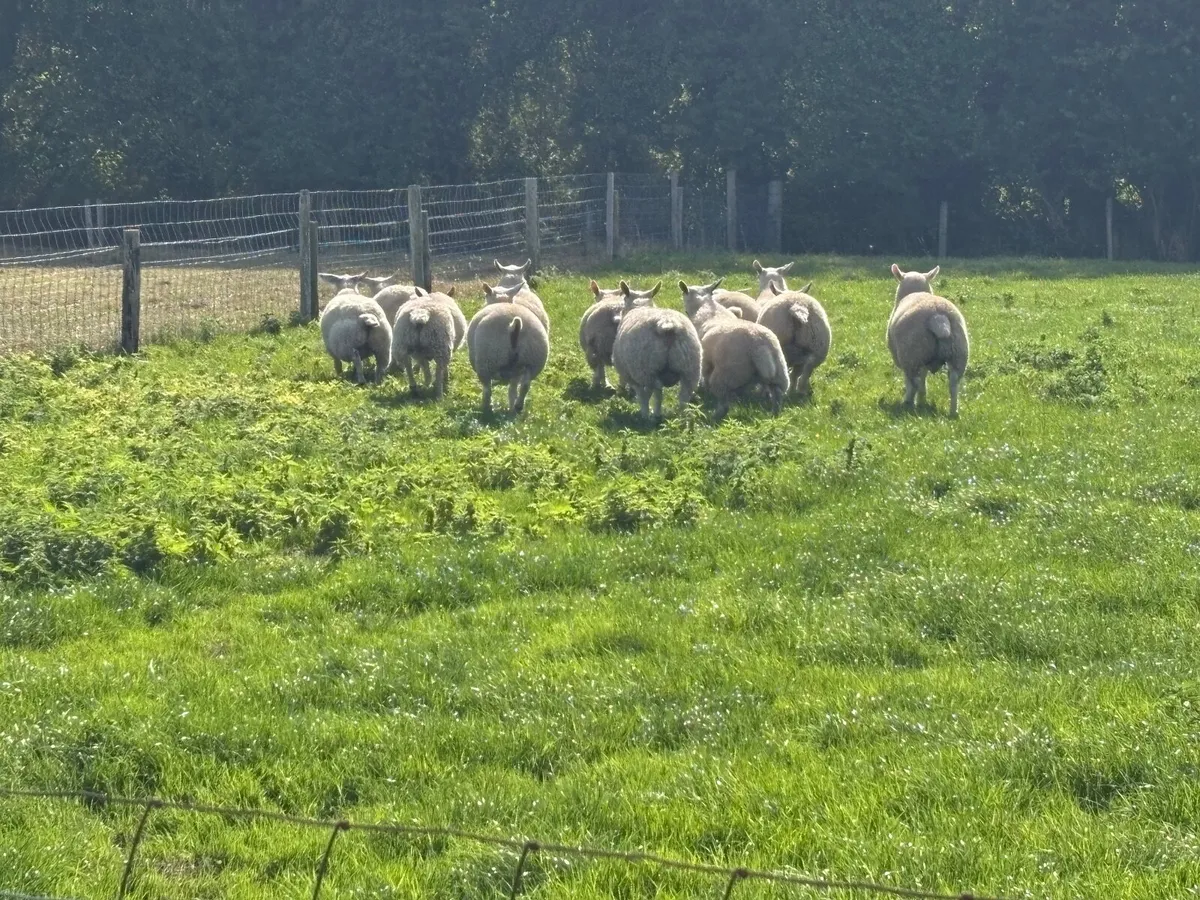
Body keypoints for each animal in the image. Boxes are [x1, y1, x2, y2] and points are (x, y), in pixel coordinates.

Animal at [467, 282, 550, 414]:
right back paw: (517, 407)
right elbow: (513, 388)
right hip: (533, 360)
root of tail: (515, 325)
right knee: (524, 385)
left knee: (487, 389)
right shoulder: (516, 371)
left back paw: (486, 409)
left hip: (487, 359)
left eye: (485, 296)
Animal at [611, 281, 702, 421]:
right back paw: (682, 418)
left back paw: (649, 416)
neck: (640, 306)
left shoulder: (631, 375)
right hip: (691, 369)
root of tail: (667, 324)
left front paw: (646, 413)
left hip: (645, 369)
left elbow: (643, 394)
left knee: (651, 392)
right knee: (684, 397)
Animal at [680, 279, 790, 420]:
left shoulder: (705, 362)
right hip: (780, 374)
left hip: (726, 375)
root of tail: (758, 344)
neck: (705, 307)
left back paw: (713, 417)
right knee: (777, 396)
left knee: (724, 403)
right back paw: (774, 415)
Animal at [887, 264, 970, 416]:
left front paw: (918, 400)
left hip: (911, 354)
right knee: (954, 384)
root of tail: (938, 317)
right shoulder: (924, 362)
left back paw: (908, 403)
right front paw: (922, 399)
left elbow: (914, 381)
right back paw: (953, 412)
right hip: (959, 354)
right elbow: (924, 378)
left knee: (913, 382)